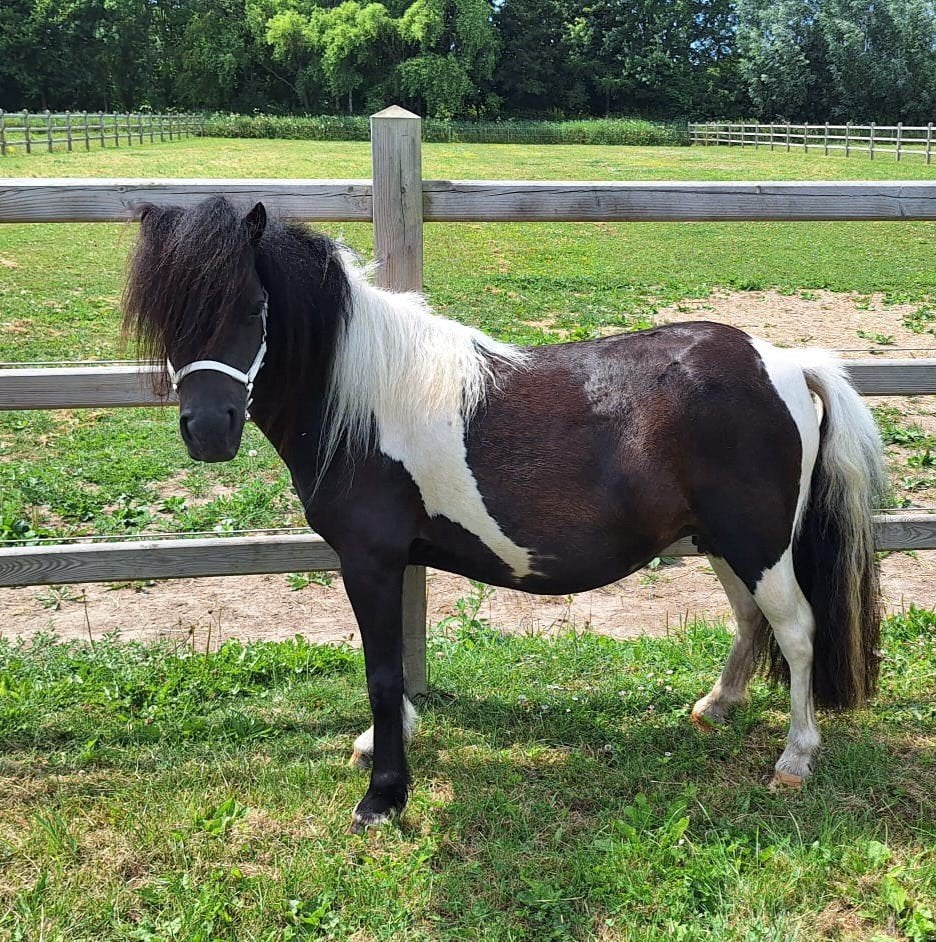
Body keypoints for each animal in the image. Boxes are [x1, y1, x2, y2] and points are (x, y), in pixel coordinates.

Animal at [123, 196, 887, 832]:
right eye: (167, 316)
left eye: (255, 307)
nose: (209, 431)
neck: (361, 399)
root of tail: (784, 362)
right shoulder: (394, 561)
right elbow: (397, 659)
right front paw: (385, 744)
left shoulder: (369, 559)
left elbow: (382, 671)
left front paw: (383, 795)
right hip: (722, 541)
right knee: (753, 619)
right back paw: (717, 706)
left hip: (758, 543)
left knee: (797, 630)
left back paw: (795, 757)